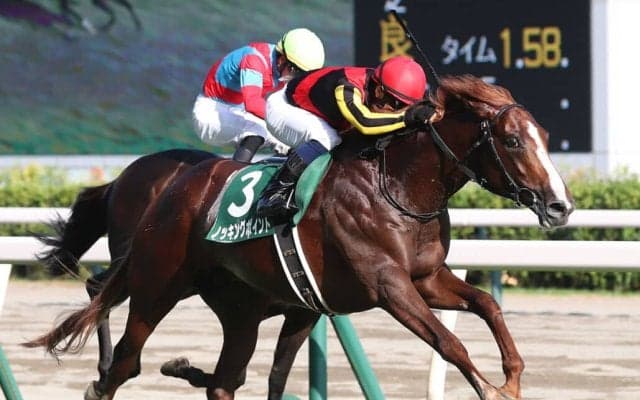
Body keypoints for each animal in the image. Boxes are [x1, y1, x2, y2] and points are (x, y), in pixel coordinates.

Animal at [25, 74, 574, 400]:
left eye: (546, 137)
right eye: (511, 140)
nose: (560, 205)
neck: (397, 187)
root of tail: (172, 186)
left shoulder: (427, 278)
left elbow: (487, 303)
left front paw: (512, 374)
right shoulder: (388, 284)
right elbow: (447, 340)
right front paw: (492, 388)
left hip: (240, 311)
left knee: (226, 379)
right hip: (155, 284)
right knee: (123, 356)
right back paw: (105, 375)